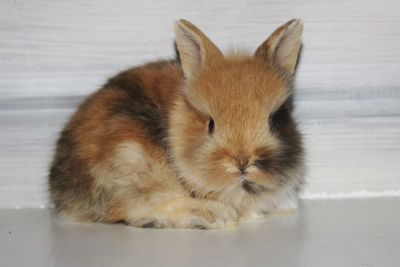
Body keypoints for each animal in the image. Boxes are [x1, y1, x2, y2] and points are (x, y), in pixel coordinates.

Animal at [50, 19, 306, 230]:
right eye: (211, 124)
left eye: (273, 120)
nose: (242, 163)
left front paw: (287, 206)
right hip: (130, 156)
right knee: (135, 209)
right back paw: (216, 216)